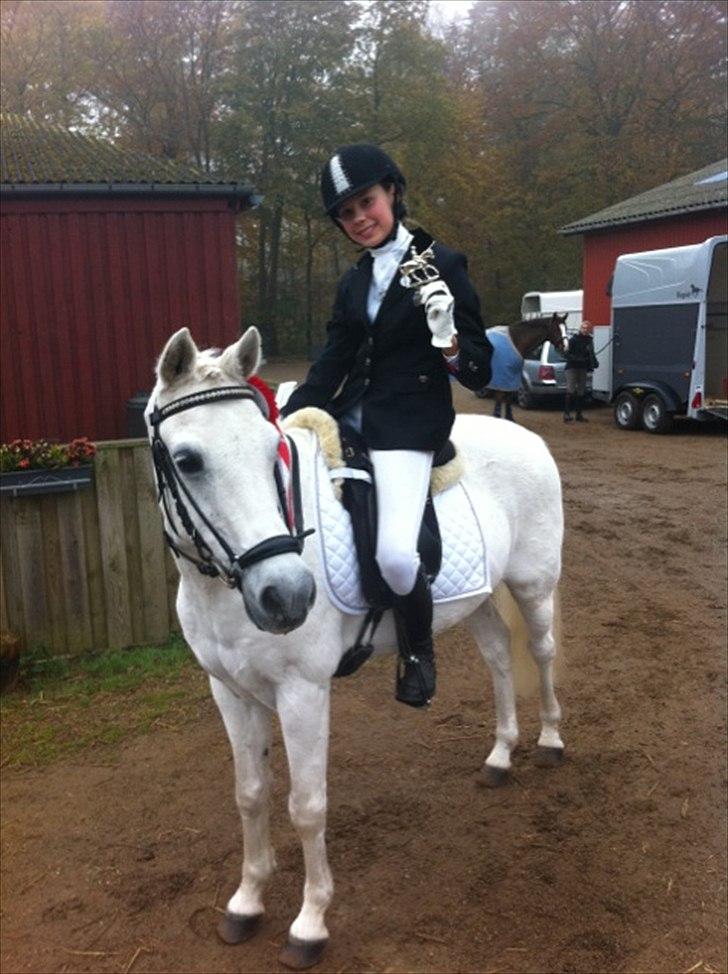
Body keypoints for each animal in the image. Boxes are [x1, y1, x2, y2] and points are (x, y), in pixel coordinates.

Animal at [146, 326, 565, 970]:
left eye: (271, 453)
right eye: (189, 461)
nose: (287, 595)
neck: (222, 588)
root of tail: (527, 437)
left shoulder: (302, 693)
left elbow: (307, 805)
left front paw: (309, 923)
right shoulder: (229, 691)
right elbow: (250, 795)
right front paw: (247, 901)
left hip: (533, 586)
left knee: (540, 653)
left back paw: (549, 741)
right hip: (480, 598)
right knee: (498, 658)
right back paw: (499, 756)